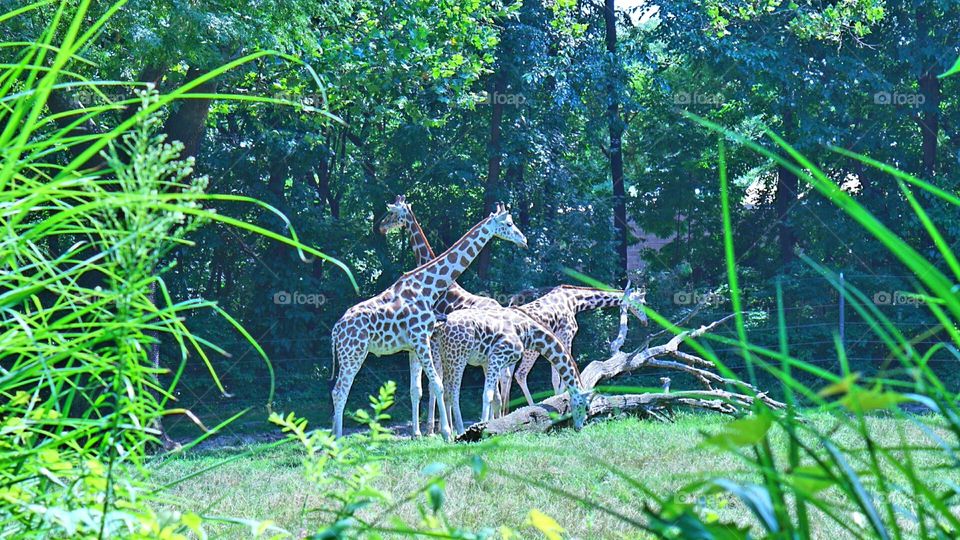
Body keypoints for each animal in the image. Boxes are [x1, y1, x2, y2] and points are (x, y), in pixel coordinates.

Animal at [330, 203, 526, 441]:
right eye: (509, 223)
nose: (523, 240)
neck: (428, 287)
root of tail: (335, 331)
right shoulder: (421, 340)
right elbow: (437, 385)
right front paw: (445, 432)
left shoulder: (415, 345)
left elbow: (420, 389)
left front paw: (426, 432)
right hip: (353, 353)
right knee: (340, 390)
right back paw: (337, 440)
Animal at [434, 306, 590, 435]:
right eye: (586, 407)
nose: (579, 428)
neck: (527, 333)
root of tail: (442, 327)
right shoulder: (497, 356)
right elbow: (487, 395)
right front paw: (482, 427)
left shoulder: (488, 361)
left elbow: (496, 398)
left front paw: (494, 425)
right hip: (458, 356)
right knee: (454, 392)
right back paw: (459, 430)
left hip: (445, 357)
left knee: (446, 391)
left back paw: (449, 434)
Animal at [505, 285, 648, 408]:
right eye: (643, 302)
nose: (645, 321)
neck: (574, 301)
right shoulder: (566, 335)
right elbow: (561, 374)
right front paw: (560, 399)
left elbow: (556, 376)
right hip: (530, 349)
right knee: (520, 374)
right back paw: (532, 406)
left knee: (506, 377)